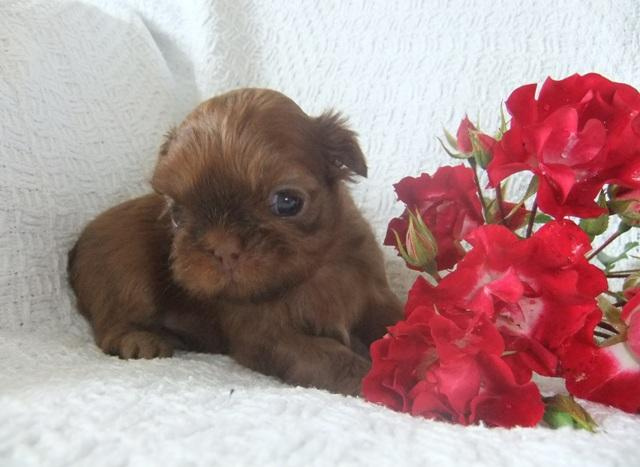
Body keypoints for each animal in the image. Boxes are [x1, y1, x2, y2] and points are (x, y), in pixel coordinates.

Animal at [68, 88, 403, 396]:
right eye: (177, 214)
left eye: (287, 202)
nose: (222, 248)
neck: (312, 272)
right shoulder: (268, 337)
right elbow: (329, 358)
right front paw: (375, 381)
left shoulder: (375, 296)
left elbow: (396, 322)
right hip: (126, 273)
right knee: (112, 324)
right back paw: (140, 340)